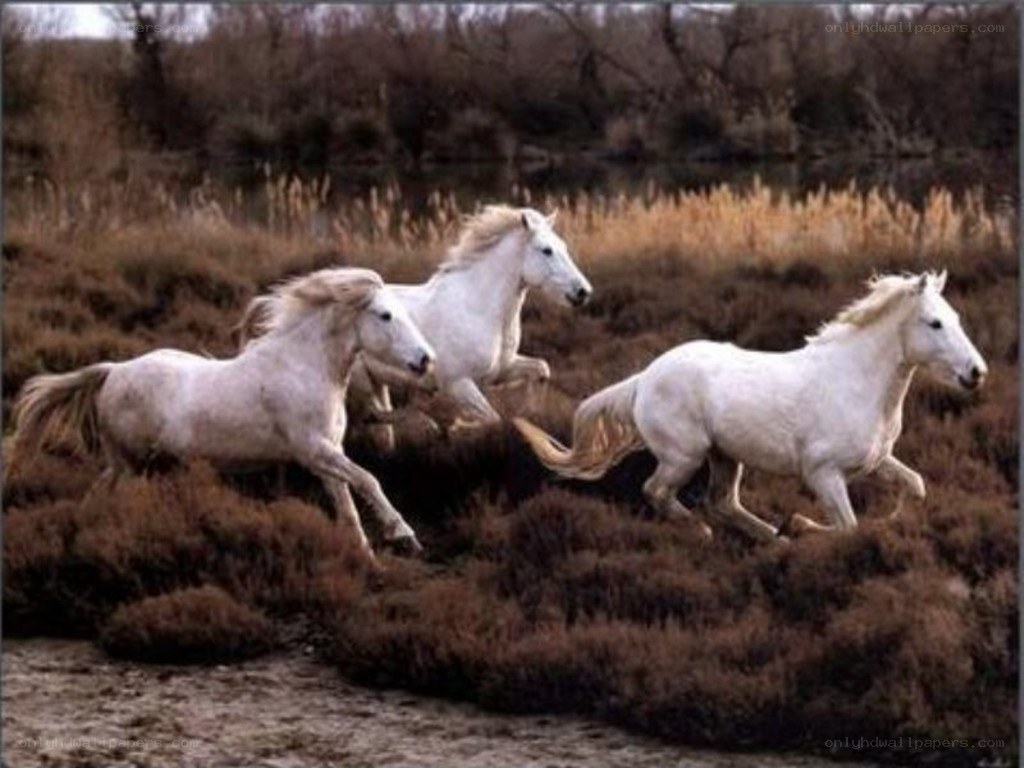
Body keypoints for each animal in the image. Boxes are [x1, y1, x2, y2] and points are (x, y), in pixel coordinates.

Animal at [8, 267, 437, 559]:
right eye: (384, 315)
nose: (425, 360)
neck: (303, 368)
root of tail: (113, 371)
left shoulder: (326, 456)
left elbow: (347, 507)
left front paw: (367, 558)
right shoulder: (313, 449)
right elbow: (368, 480)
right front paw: (405, 535)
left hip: (135, 464)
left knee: (97, 495)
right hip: (130, 463)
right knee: (106, 495)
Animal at [238, 205, 592, 447]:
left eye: (563, 247)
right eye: (546, 250)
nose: (582, 292)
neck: (478, 307)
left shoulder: (499, 372)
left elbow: (541, 370)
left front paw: (534, 418)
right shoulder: (459, 384)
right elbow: (490, 418)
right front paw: (459, 428)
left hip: (375, 382)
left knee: (380, 422)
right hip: (361, 381)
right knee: (376, 414)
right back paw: (428, 422)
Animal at [514, 271, 987, 542]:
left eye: (957, 319)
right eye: (934, 323)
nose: (976, 372)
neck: (855, 382)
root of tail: (645, 377)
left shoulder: (877, 460)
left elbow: (915, 487)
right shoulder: (823, 473)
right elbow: (847, 527)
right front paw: (801, 524)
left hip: (725, 456)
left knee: (723, 502)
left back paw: (772, 538)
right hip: (684, 456)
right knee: (658, 492)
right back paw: (703, 533)